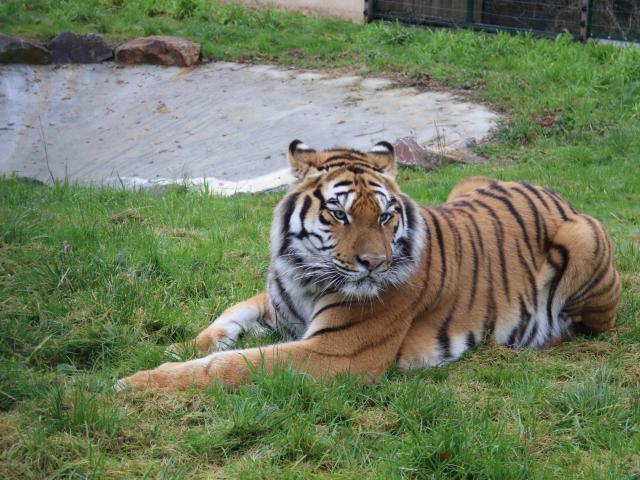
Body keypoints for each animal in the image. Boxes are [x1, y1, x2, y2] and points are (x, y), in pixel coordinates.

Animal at [115, 138, 620, 390]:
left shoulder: (335, 352)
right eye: (338, 215)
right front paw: (179, 347)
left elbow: (230, 366)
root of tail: (553, 192)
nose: (374, 263)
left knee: (593, 323)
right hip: (469, 181)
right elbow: (225, 320)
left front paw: (135, 382)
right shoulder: (276, 303)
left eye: (384, 215)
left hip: (585, 237)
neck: (306, 274)